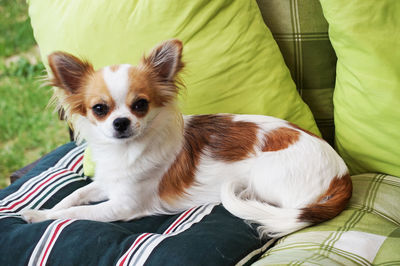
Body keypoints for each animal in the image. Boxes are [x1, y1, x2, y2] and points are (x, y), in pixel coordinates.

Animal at [23, 39, 352, 237]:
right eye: (99, 109)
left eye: (140, 105)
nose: (121, 122)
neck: (125, 151)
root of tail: (343, 174)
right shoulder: (107, 184)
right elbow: (75, 196)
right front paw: (44, 209)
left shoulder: (122, 206)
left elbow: (77, 212)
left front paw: (38, 217)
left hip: (265, 175)